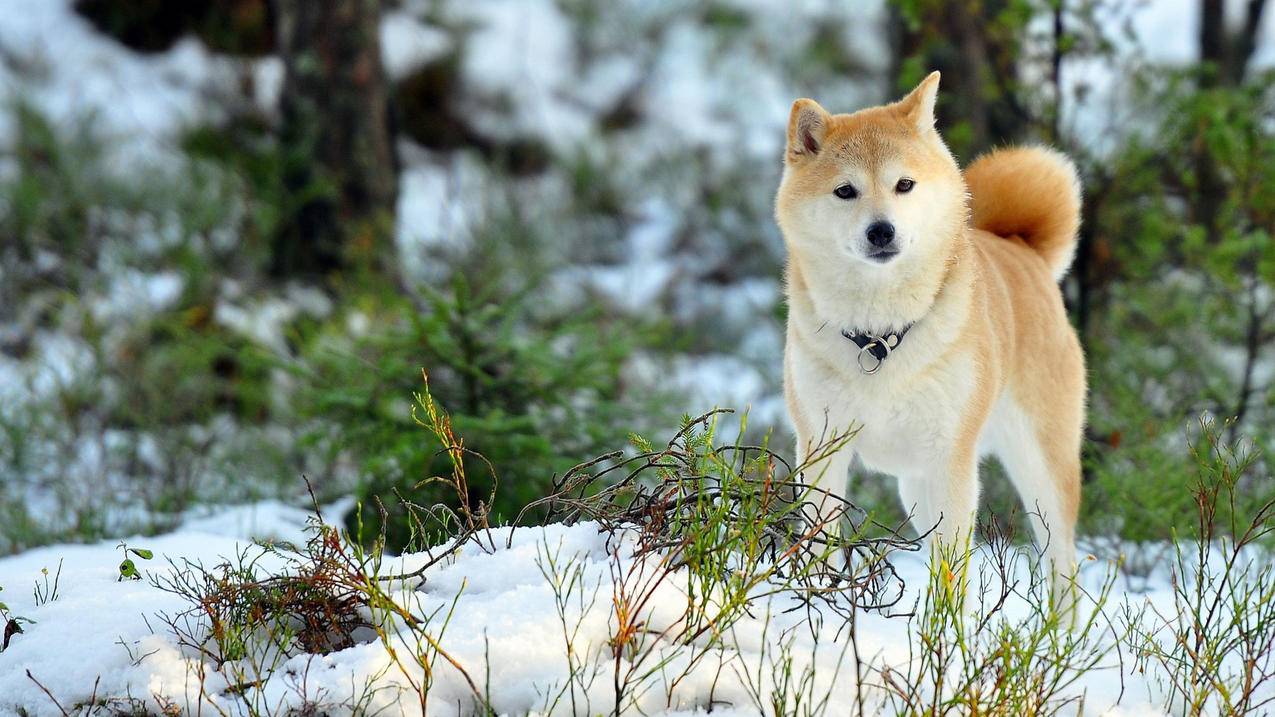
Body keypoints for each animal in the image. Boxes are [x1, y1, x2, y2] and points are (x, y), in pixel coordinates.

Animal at [775, 72, 1086, 597]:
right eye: (845, 191)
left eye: (904, 184)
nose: (881, 231)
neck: (879, 336)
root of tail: (1023, 249)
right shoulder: (822, 447)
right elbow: (819, 545)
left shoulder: (950, 462)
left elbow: (953, 578)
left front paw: (946, 623)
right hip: (916, 488)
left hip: (1041, 471)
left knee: (1062, 567)